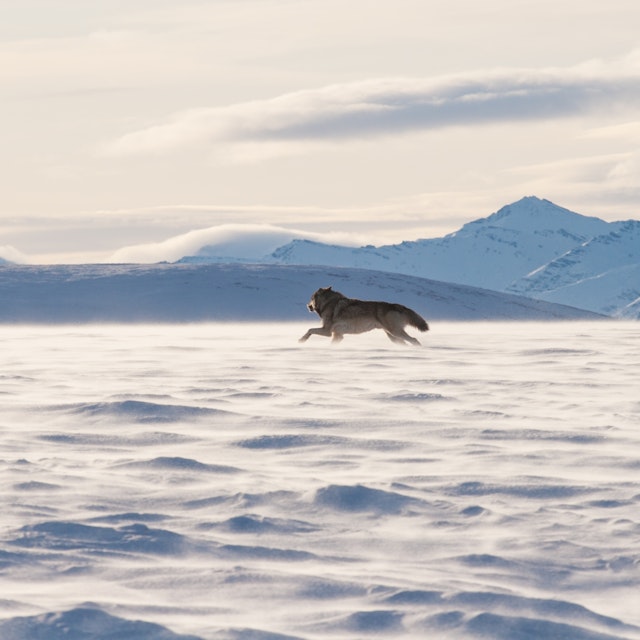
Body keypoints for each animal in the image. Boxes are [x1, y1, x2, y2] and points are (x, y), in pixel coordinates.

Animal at [299, 286, 429, 345]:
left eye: (311, 298)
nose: (307, 306)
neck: (328, 303)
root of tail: (398, 305)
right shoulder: (338, 335)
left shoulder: (327, 331)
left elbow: (309, 329)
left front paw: (301, 340)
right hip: (392, 336)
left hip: (395, 333)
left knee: (414, 340)